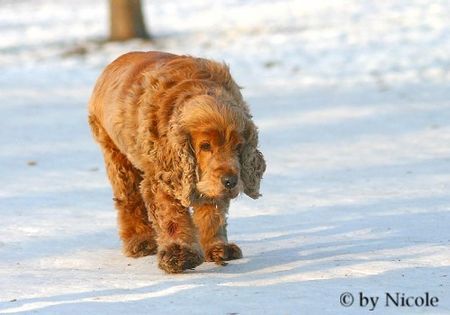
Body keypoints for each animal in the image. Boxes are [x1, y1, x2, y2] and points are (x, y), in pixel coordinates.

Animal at [88, 51, 266, 274]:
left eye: (238, 146)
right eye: (205, 145)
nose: (230, 181)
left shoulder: (209, 182)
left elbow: (212, 213)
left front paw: (218, 248)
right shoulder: (163, 178)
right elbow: (172, 217)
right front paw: (180, 254)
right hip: (115, 154)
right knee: (128, 200)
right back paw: (140, 242)